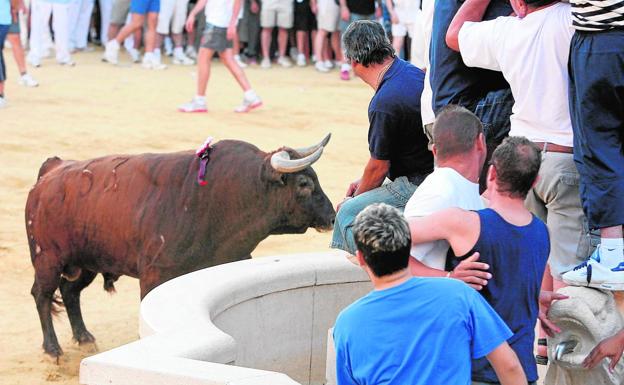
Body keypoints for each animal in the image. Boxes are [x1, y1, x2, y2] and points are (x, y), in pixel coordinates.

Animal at [24, 134, 336, 356]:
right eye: (304, 183)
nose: (332, 216)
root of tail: (52, 169)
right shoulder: (154, 275)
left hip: (86, 261)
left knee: (70, 292)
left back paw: (85, 338)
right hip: (48, 258)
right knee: (42, 294)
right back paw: (53, 349)